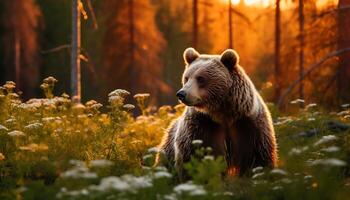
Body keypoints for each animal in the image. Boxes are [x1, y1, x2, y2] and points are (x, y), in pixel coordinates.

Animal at [156, 47, 278, 177]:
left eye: (200, 78)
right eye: (186, 78)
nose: (181, 94)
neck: (222, 113)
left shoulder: (248, 125)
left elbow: (257, 158)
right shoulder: (201, 126)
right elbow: (192, 157)